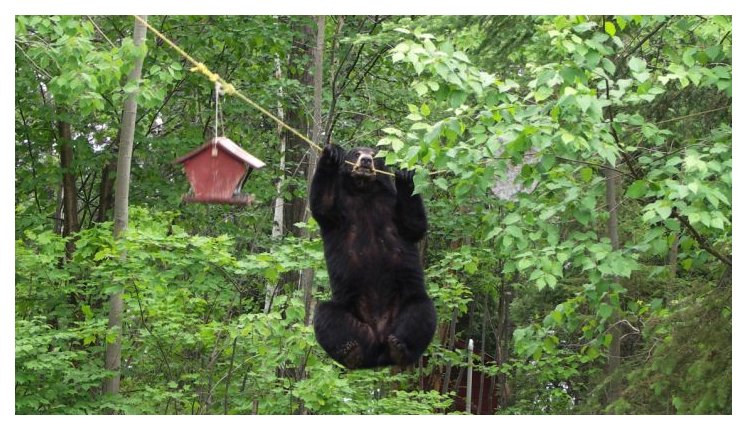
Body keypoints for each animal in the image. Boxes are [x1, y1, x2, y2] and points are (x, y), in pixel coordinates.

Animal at [312, 144, 438, 370]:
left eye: (375, 154)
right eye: (355, 153)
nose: (365, 161)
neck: (364, 190)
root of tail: (379, 350)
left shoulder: (390, 204)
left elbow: (414, 225)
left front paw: (405, 175)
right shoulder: (339, 207)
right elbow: (322, 204)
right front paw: (332, 153)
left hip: (406, 304)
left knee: (422, 312)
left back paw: (400, 349)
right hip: (349, 313)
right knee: (325, 316)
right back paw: (351, 352)